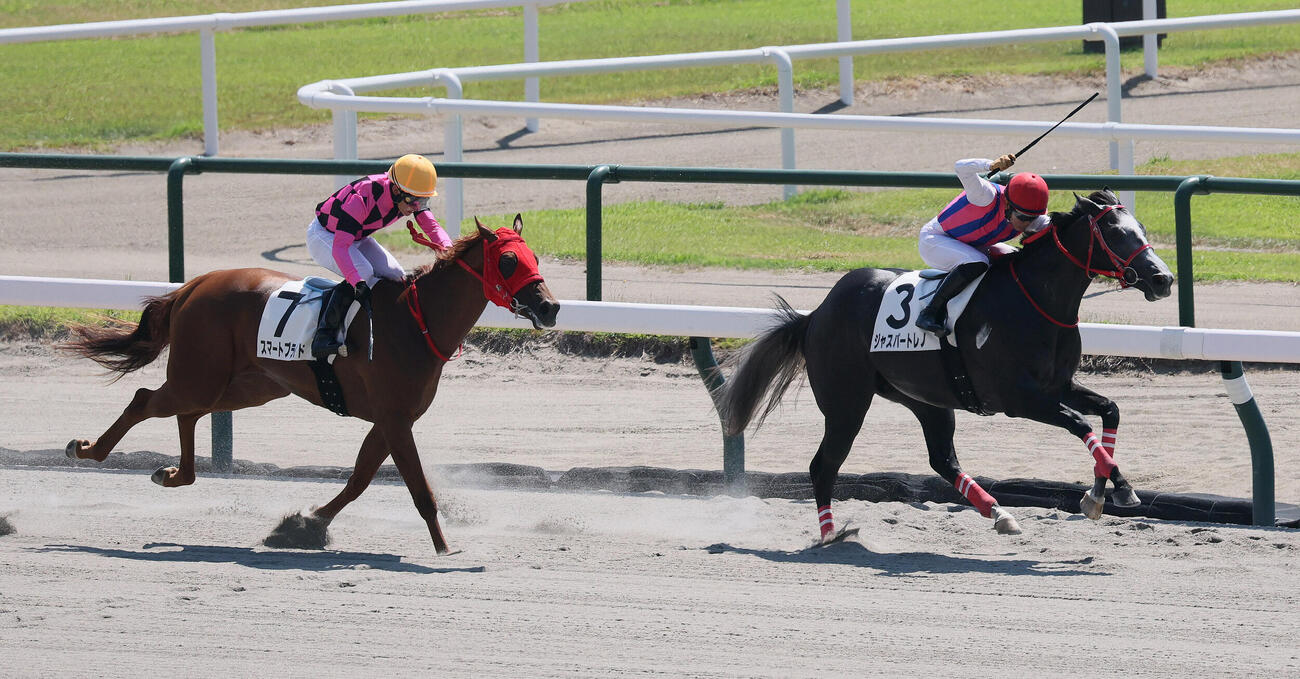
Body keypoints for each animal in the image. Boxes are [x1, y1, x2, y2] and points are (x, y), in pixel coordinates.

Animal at [62, 214, 558, 555]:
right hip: (200, 375)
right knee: (145, 399)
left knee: (187, 412)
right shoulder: (395, 418)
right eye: (508, 260)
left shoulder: (391, 419)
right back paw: (87, 450)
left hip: (246, 385)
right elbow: (418, 487)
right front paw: (444, 547)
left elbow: (360, 478)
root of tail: (192, 285)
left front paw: (304, 525)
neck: (416, 322)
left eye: (534, 257)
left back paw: (174, 474)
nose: (550, 307)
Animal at [715, 189, 1174, 543]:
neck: (1036, 301)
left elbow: (1109, 410)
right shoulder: (1018, 398)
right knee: (823, 466)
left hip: (926, 400)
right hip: (846, 403)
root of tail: (816, 315)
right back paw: (831, 535)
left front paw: (1108, 491)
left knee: (942, 460)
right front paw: (1105, 490)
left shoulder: (1057, 386)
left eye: (1142, 229)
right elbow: (1080, 424)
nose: (1162, 279)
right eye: (1116, 233)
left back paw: (999, 513)